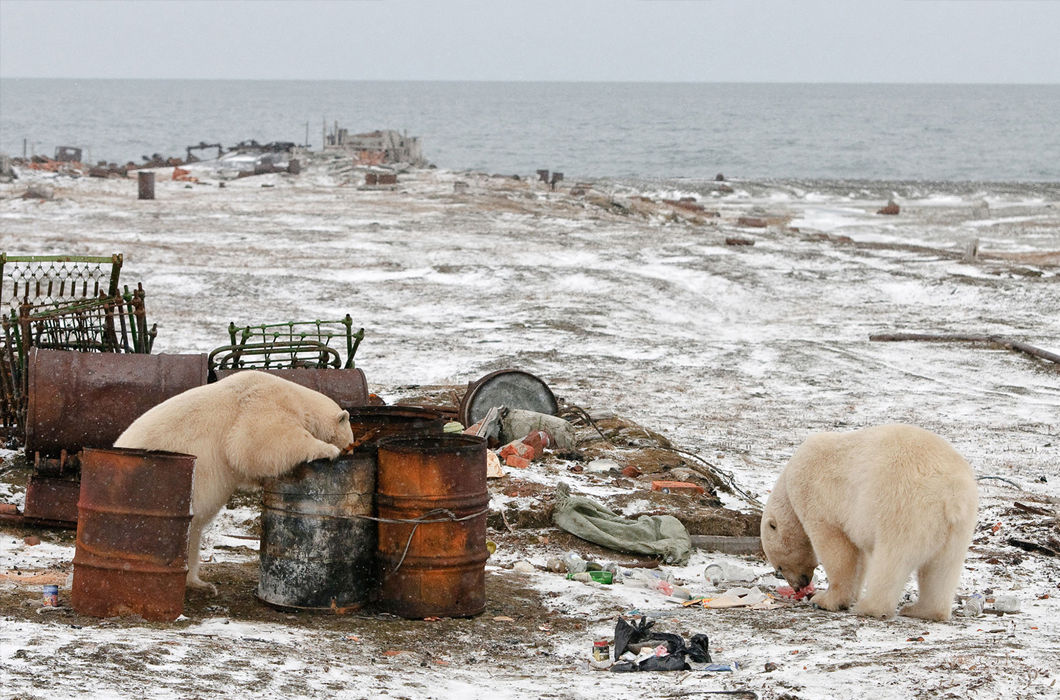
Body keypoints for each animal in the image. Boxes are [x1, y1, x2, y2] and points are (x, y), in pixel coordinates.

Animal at [113, 369, 356, 593]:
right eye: (348, 440)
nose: (351, 451)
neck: (297, 396)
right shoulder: (263, 403)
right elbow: (260, 441)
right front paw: (328, 450)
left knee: (192, 534)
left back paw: (200, 584)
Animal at [763, 424, 975, 619]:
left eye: (779, 568)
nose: (800, 586)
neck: (788, 485)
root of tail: (951, 495)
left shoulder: (815, 497)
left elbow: (836, 548)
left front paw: (825, 600)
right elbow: (860, 557)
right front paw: (849, 596)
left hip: (905, 508)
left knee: (891, 559)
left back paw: (870, 607)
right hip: (957, 527)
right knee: (942, 569)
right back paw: (923, 610)